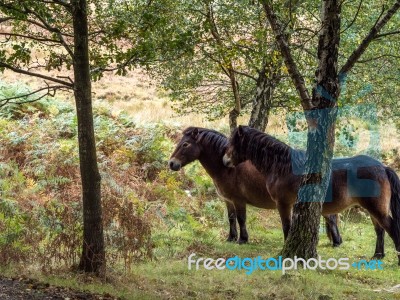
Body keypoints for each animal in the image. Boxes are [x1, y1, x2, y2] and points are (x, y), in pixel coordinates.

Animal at [167, 126, 342, 246]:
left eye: (185, 144)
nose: (171, 163)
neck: (227, 168)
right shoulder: (228, 200)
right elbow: (231, 219)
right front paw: (231, 238)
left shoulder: (238, 200)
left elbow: (241, 219)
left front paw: (243, 239)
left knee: (331, 218)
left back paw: (336, 242)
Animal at [222, 125, 400, 264]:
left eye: (233, 142)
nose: (225, 161)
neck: (283, 167)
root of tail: (383, 167)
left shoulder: (284, 204)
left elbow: (287, 227)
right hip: (373, 209)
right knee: (380, 230)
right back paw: (378, 256)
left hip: (376, 209)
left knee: (391, 228)